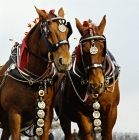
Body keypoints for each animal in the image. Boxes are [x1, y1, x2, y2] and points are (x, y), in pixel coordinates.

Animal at [0, 6, 73, 140]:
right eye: (49, 32)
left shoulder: (47, 115)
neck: (33, 79)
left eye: (67, 32)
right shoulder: (14, 114)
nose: (65, 62)